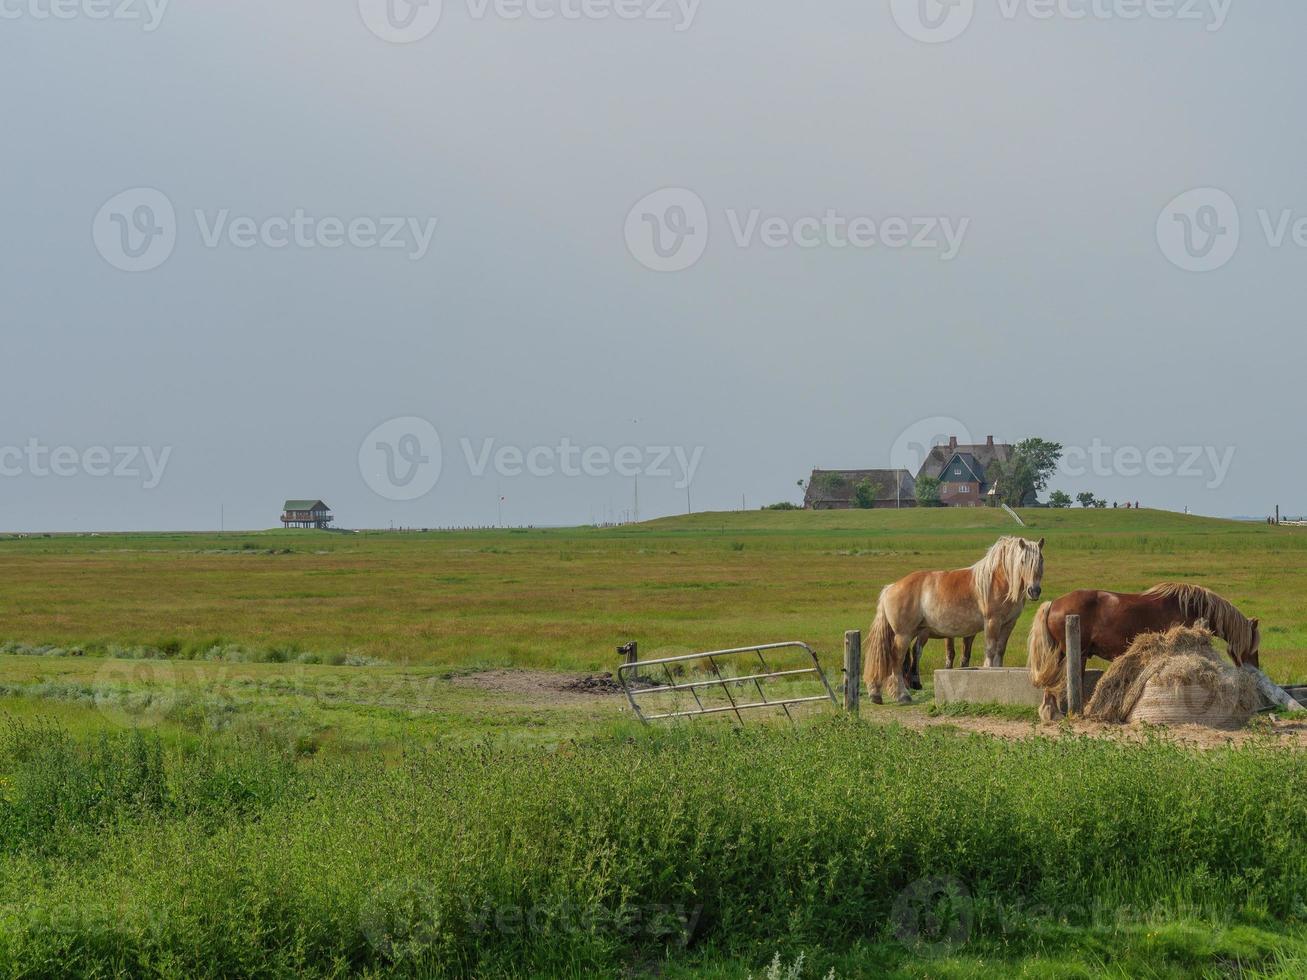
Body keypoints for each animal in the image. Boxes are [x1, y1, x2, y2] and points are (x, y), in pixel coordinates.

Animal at [862, 538, 1045, 705]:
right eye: (1023, 561)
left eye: (1041, 560)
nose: (1034, 591)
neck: (997, 580)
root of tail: (891, 587)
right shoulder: (992, 622)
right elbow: (990, 651)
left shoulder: (1008, 624)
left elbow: (1000, 652)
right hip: (903, 634)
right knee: (896, 660)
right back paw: (902, 695)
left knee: (882, 657)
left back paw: (875, 693)